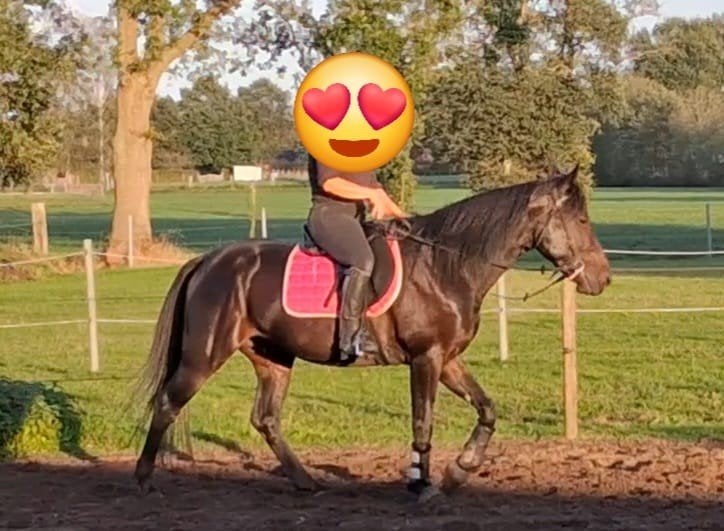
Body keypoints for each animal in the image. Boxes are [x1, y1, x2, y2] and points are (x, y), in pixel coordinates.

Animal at [134, 166, 611, 501]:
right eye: (581, 219)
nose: (602, 278)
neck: (443, 267)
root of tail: (209, 260)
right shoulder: (426, 358)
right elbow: (423, 421)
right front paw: (423, 484)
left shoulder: (447, 359)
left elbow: (487, 410)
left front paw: (461, 469)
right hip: (204, 354)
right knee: (168, 402)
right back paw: (143, 479)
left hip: (273, 356)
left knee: (265, 418)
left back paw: (305, 481)